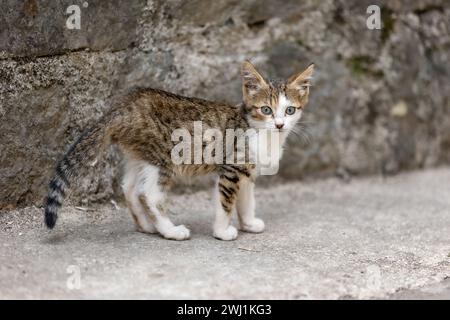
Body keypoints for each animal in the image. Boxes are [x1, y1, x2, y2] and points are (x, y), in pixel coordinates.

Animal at [44, 60, 314, 240]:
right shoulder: (231, 168)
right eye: (266, 110)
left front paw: (248, 223)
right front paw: (222, 231)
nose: (279, 124)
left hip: (140, 155)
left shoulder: (247, 172)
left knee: (129, 187)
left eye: (290, 110)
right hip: (162, 157)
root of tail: (124, 104)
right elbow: (226, 202)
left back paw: (147, 226)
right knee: (149, 195)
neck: (262, 134)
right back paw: (170, 230)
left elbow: (246, 200)